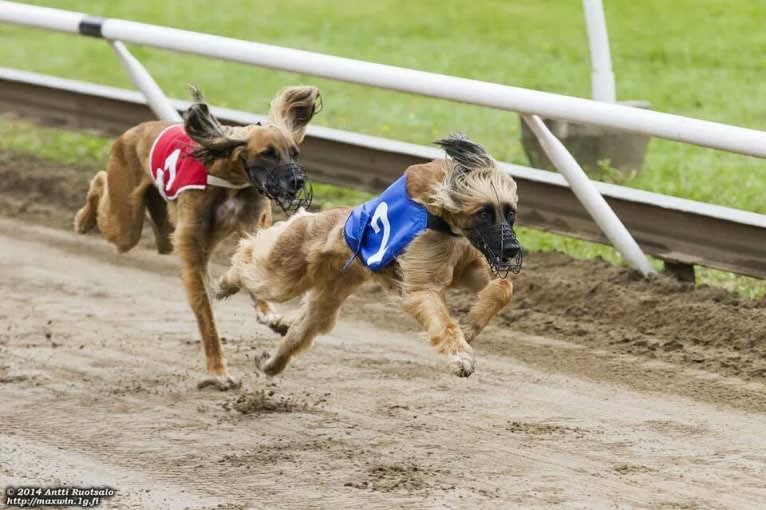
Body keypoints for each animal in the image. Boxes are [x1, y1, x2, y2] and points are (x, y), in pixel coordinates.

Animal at [73, 85, 322, 388]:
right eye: (267, 153)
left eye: (294, 153)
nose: (297, 181)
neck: (228, 179)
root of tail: (133, 131)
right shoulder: (193, 252)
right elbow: (206, 315)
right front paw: (218, 372)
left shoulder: (250, 226)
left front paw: (272, 316)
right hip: (125, 220)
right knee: (100, 182)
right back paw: (83, 220)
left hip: (161, 229)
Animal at [219, 133, 524, 376]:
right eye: (484, 212)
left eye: (510, 213)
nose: (511, 250)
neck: (444, 221)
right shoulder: (422, 286)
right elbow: (442, 320)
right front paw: (461, 357)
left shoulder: (466, 267)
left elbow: (503, 287)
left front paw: (471, 325)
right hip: (286, 268)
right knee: (248, 256)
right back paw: (224, 284)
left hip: (327, 298)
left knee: (302, 330)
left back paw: (271, 363)